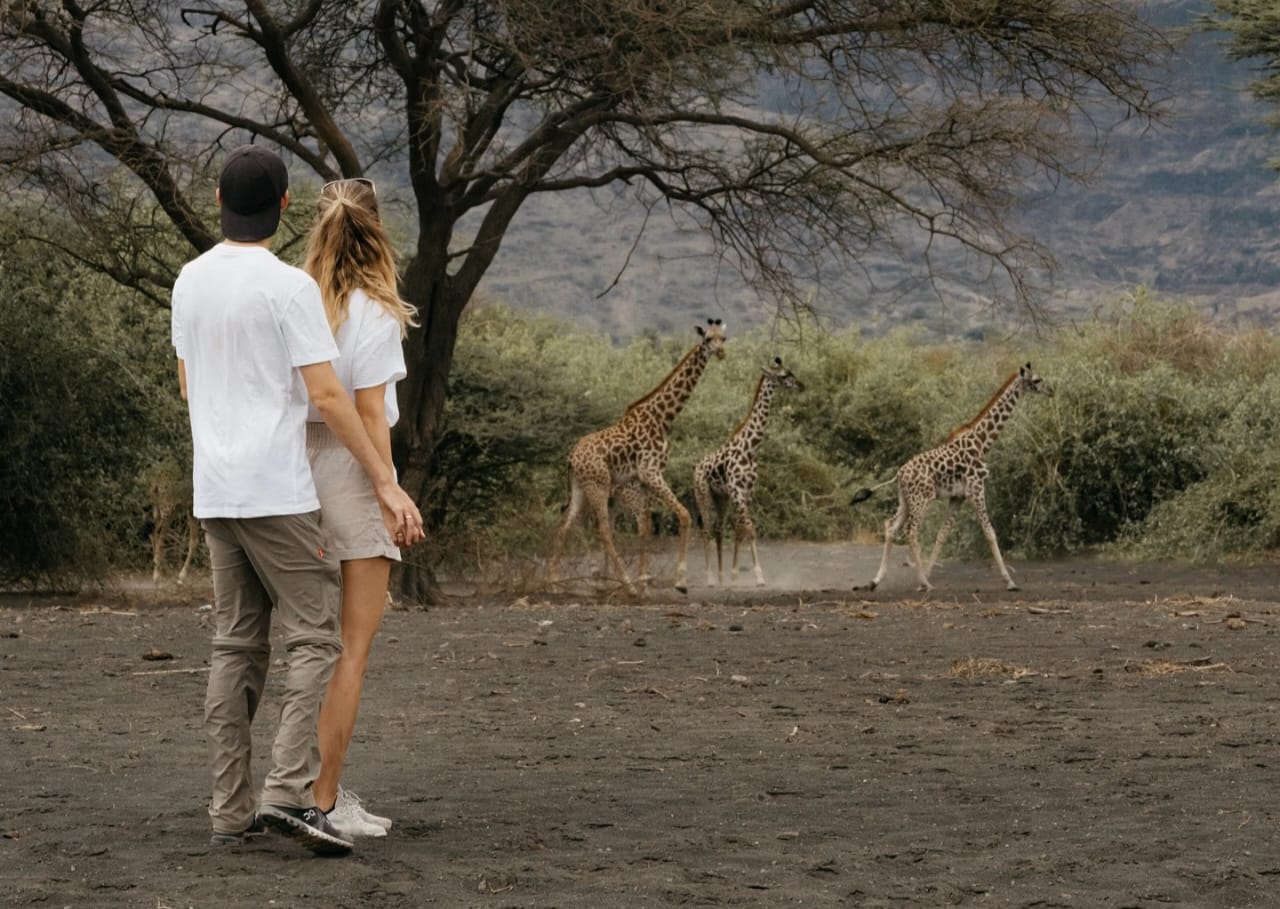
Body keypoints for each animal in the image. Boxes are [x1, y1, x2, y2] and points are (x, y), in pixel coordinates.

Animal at [547, 319, 728, 594]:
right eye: (708, 339)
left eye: (723, 338)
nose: (720, 353)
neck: (663, 419)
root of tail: (571, 457)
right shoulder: (651, 472)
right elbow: (684, 515)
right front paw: (679, 581)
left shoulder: (643, 479)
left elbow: (644, 527)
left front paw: (645, 581)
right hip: (598, 486)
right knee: (603, 530)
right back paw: (625, 585)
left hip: (580, 487)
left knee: (565, 526)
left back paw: (554, 583)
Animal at [693, 357, 803, 587]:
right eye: (783, 375)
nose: (801, 385)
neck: (750, 448)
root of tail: (696, 467)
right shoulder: (737, 491)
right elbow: (750, 529)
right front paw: (759, 576)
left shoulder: (747, 492)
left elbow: (740, 529)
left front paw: (734, 575)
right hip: (703, 494)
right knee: (706, 529)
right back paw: (709, 578)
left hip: (721, 498)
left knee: (718, 528)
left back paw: (721, 577)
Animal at [851, 362, 1053, 592]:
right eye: (1036, 380)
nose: (1051, 391)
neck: (981, 443)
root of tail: (899, 474)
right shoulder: (976, 489)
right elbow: (990, 532)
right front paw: (1010, 582)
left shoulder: (958, 497)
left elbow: (942, 534)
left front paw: (927, 575)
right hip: (921, 500)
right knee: (911, 531)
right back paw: (923, 583)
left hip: (905, 500)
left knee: (891, 527)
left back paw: (875, 581)